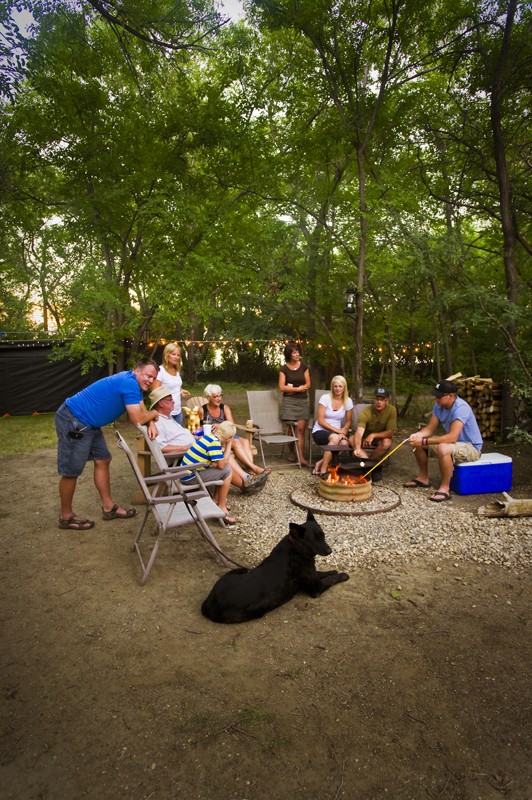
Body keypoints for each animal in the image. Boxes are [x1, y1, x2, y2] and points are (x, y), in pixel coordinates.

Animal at [201, 512, 350, 624]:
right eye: (314, 540)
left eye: (323, 536)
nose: (330, 551)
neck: (297, 548)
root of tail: (208, 603)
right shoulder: (316, 588)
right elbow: (330, 580)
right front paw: (342, 575)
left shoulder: (312, 574)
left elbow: (321, 573)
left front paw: (332, 570)